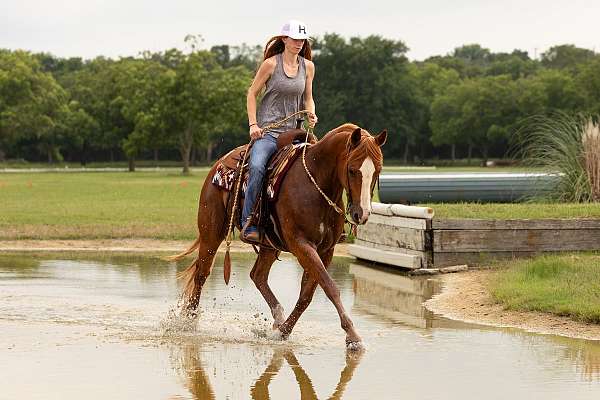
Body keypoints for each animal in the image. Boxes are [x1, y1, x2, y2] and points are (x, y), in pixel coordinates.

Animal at [171, 123, 386, 348]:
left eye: (378, 170)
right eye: (352, 170)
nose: (362, 213)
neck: (316, 182)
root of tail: (219, 165)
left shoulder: (326, 250)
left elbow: (307, 294)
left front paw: (284, 331)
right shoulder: (301, 245)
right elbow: (329, 286)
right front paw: (353, 335)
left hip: (268, 244)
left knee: (257, 275)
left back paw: (279, 318)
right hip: (211, 232)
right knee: (202, 273)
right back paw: (189, 320)